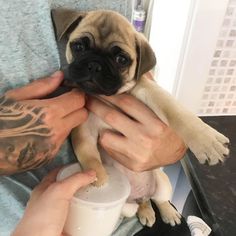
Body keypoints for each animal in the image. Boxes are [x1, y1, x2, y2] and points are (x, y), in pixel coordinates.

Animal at [52, 8, 230, 227]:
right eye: (78, 46)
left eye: (121, 60)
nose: (94, 65)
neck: (108, 96)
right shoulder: (84, 132)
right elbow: (88, 154)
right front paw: (97, 177)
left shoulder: (150, 91)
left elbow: (176, 112)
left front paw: (206, 141)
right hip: (129, 206)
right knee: (142, 203)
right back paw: (142, 212)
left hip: (163, 184)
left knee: (159, 200)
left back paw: (168, 213)